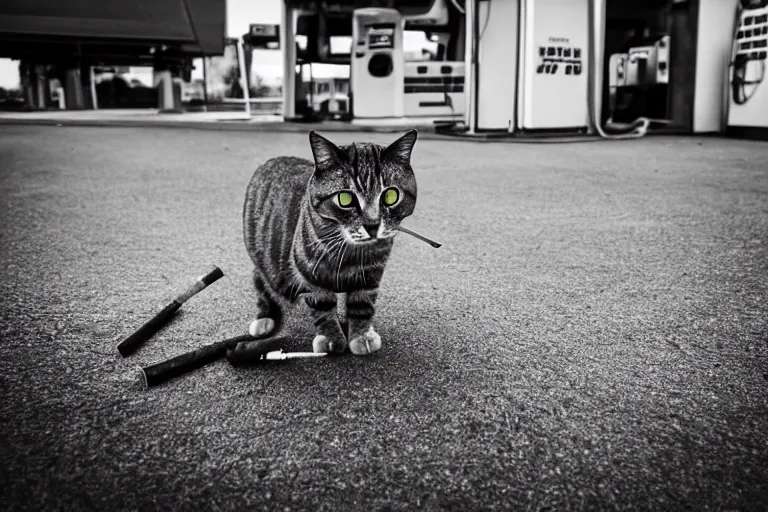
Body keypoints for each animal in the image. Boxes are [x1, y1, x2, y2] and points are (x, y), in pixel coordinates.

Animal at [242, 130, 416, 354]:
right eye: (345, 199)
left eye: (390, 195)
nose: (372, 224)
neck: (350, 249)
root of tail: (272, 160)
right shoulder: (311, 274)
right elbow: (322, 307)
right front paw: (331, 338)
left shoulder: (371, 274)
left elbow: (363, 305)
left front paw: (361, 335)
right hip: (268, 265)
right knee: (262, 281)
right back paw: (264, 317)